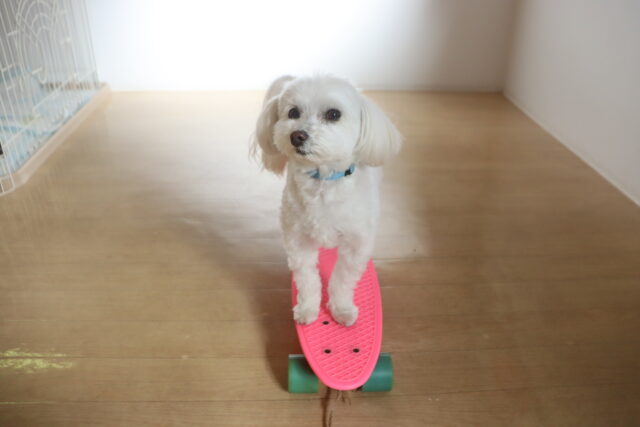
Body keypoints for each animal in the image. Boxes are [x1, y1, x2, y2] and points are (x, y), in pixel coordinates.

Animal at [251, 75, 402, 326]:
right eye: (293, 112)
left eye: (333, 114)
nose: (297, 136)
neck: (323, 181)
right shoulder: (298, 242)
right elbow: (307, 279)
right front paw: (307, 309)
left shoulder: (355, 246)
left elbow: (342, 280)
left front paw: (341, 309)